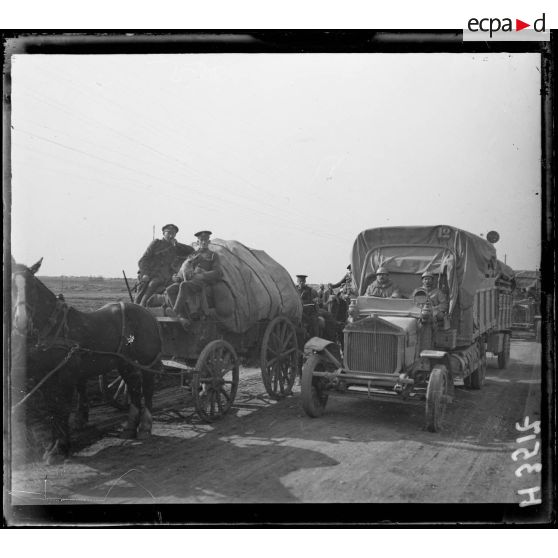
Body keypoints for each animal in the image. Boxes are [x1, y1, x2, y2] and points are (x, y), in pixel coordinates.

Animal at [10, 260, 163, 466]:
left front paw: (59, 449)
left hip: (146, 361)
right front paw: (51, 447)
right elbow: (52, 409)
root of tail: (147, 312)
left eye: (32, 287)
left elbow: (62, 409)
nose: (21, 321)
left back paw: (145, 427)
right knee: (133, 389)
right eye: (10, 286)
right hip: (125, 363)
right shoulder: (44, 377)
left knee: (147, 388)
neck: (54, 328)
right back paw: (130, 427)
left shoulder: (66, 376)